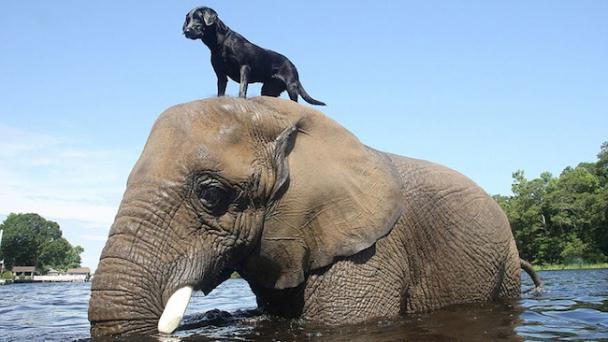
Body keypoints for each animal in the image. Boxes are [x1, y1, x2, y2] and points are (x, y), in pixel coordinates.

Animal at [182, 6, 328, 105]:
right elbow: (220, 92)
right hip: (268, 89)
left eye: (198, 18)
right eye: (188, 19)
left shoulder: (244, 67)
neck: (220, 43)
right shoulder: (221, 75)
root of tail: (293, 66)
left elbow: (242, 88)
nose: (186, 31)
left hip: (291, 87)